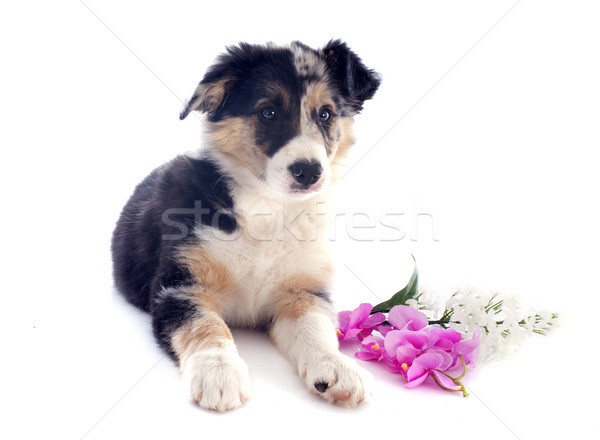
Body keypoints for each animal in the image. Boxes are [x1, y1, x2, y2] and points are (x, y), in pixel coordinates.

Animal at [112, 39, 380, 410]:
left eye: (325, 114)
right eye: (268, 112)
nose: (309, 172)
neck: (268, 209)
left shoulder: (302, 290)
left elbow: (316, 329)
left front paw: (337, 366)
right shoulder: (180, 286)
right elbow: (205, 326)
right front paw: (218, 372)